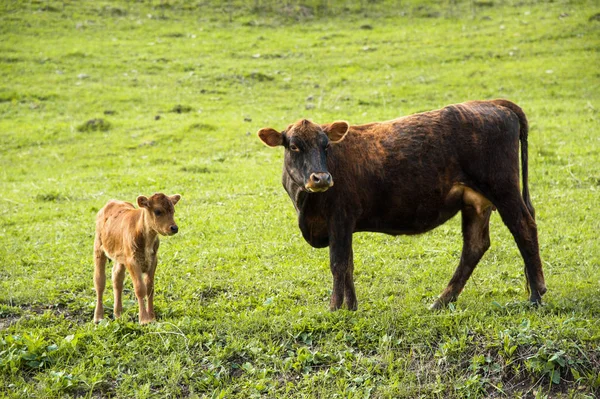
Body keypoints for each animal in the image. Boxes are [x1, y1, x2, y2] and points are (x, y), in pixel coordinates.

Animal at [92, 193, 182, 324]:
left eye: (173, 210)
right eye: (158, 211)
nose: (174, 228)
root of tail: (112, 202)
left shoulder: (153, 260)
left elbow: (150, 288)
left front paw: (152, 317)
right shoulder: (132, 262)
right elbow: (140, 288)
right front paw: (144, 319)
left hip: (120, 257)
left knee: (117, 279)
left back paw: (118, 314)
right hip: (98, 249)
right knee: (99, 281)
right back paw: (98, 317)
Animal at [258, 98, 548, 310]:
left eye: (326, 145)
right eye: (294, 146)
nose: (321, 178)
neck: (305, 205)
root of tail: (492, 103)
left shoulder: (340, 218)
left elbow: (338, 264)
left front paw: (334, 309)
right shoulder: (344, 225)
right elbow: (348, 264)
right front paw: (351, 308)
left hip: (503, 189)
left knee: (524, 227)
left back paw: (535, 295)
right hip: (475, 201)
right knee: (475, 245)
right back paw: (441, 301)